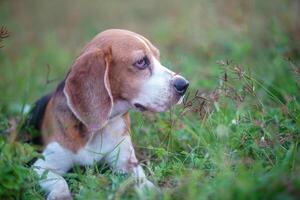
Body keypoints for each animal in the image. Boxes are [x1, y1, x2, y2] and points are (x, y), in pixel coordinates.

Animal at [29, 28, 189, 199]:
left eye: (158, 57)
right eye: (141, 62)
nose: (184, 85)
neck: (99, 128)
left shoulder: (126, 161)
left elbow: (140, 179)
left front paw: (152, 191)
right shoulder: (42, 166)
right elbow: (60, 182)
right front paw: (62, 196)